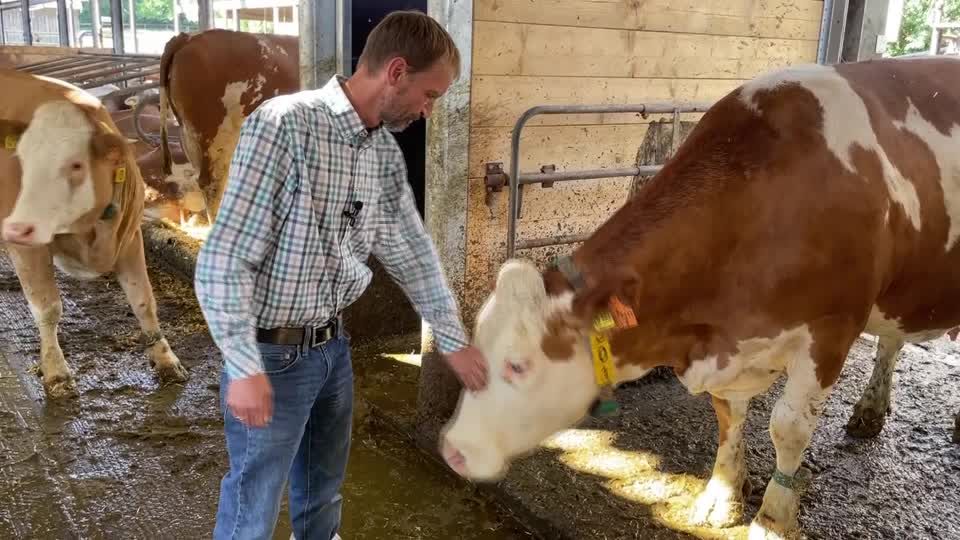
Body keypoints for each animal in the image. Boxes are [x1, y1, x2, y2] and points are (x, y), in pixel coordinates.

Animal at [0, 68, 189, 398]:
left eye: (76, 164)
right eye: (20, 160)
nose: (15, 226)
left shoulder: (129, 236)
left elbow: (144, 301)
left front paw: (166, 360)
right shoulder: (28, 248)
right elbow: (47, 308)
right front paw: (56, 374)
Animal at [439, 56, 960, 539]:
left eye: (517, 365)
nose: (452, 449)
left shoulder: (831, 329)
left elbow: (788, 427)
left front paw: (773, 518)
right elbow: (728, 415)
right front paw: (721, 496)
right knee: (893, 338)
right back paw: (871, 410)